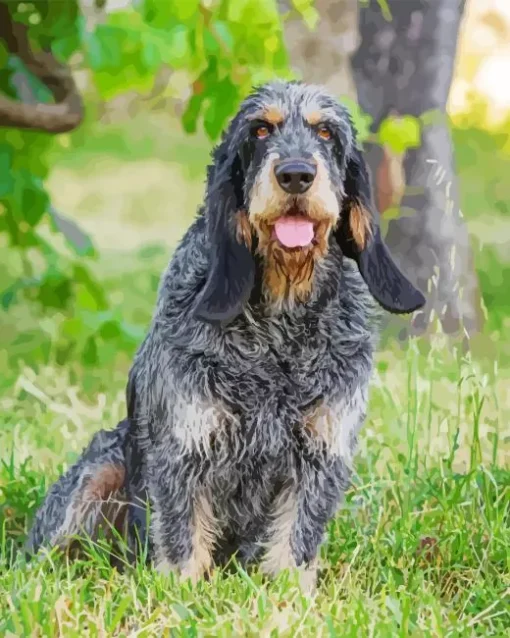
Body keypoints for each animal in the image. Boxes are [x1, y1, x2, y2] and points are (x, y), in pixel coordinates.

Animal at [27, 81, 426, 596]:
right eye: (259, 130)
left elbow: (295, 542)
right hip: (102, 467)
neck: (278, 329)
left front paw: (291, 600)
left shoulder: (320, 457)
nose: (295, 175)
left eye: (326, 133)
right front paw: (182, 598)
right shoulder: (183, 453)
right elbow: (182, 543)